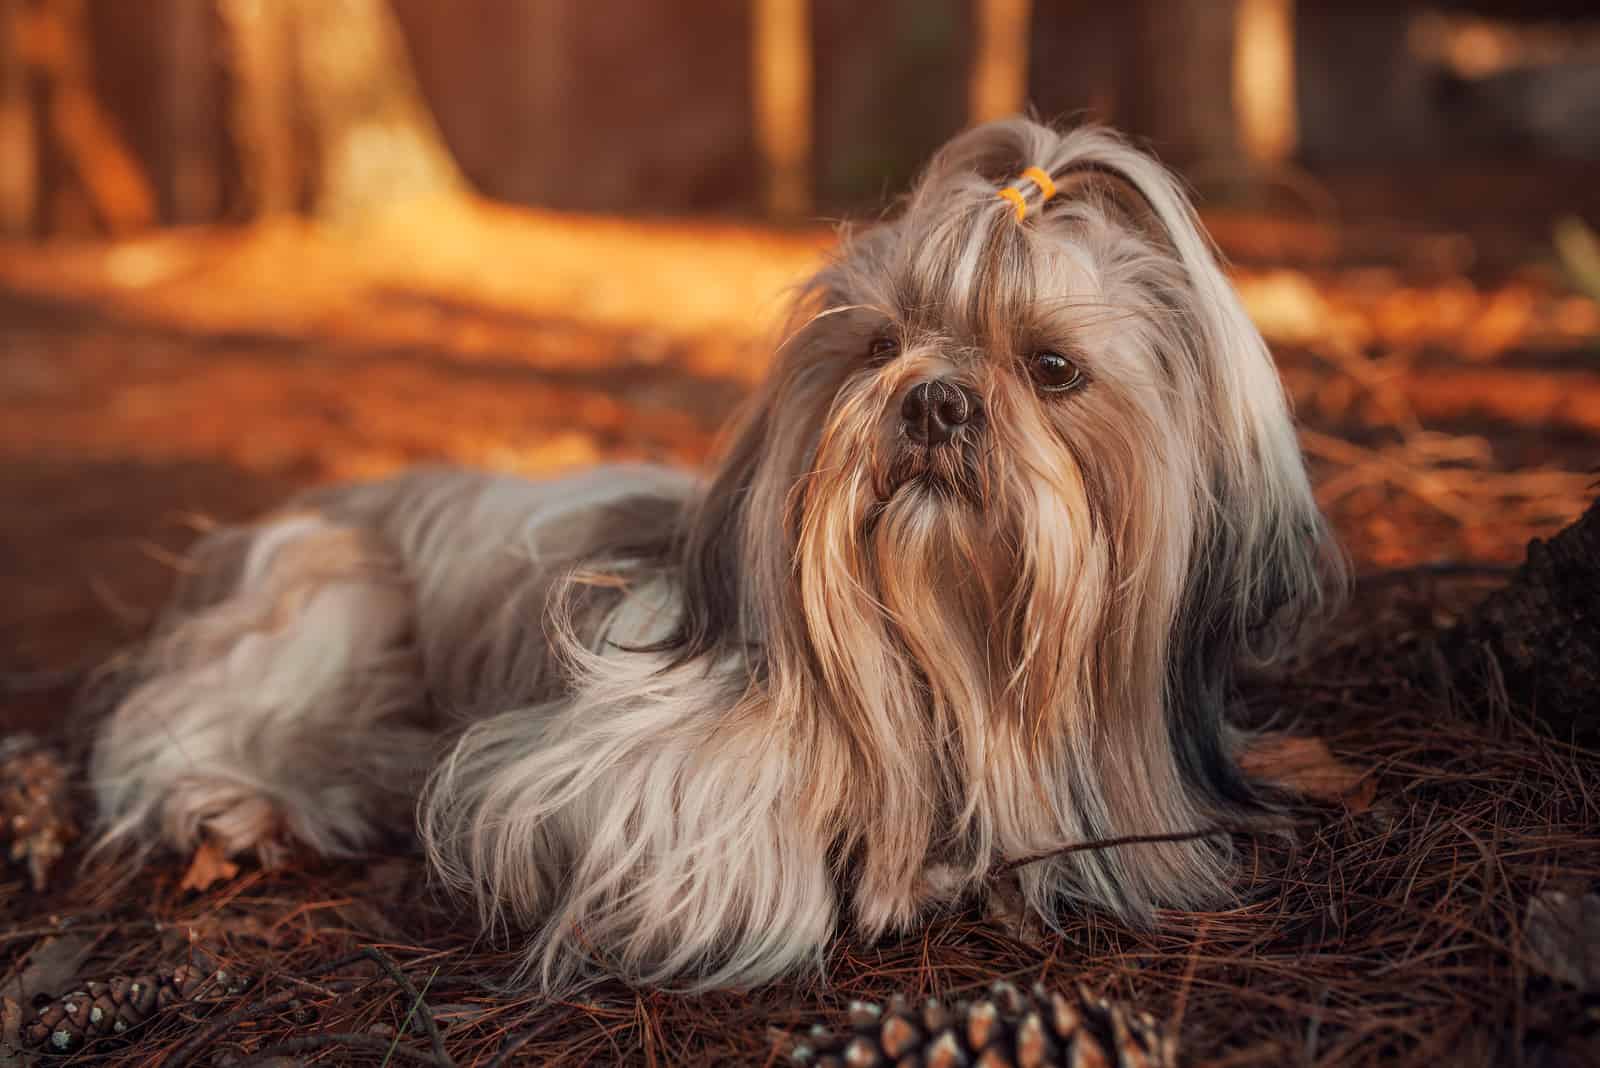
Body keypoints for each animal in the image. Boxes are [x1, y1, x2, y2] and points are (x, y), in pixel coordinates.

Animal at [84, 119, 1337, 991]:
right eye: (877, 347)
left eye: (1054, 369)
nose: (933, 400)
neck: (944, 666)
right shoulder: (571, 774)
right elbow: (720, 832)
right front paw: (883, 866)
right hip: (325, 601)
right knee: (195, 724)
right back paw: (244, 803)